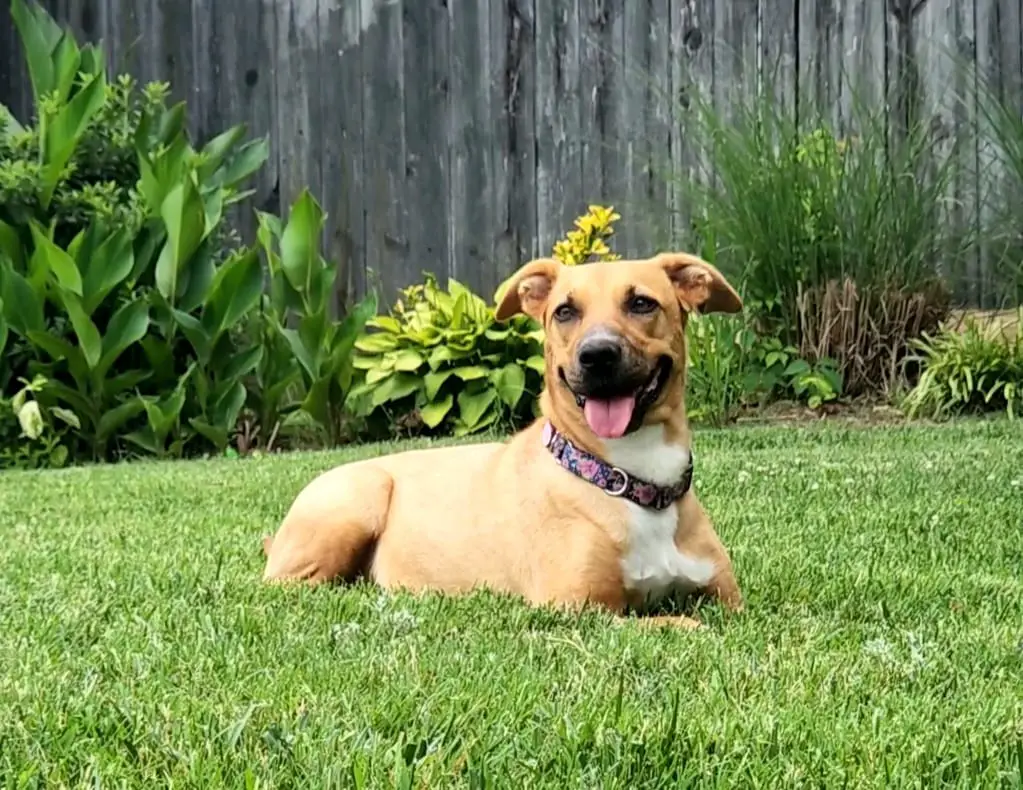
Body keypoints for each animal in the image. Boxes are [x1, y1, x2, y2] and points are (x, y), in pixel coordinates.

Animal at [261, 252, 744, 630]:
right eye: (565, 312)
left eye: (642, 303)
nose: (597, 355)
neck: (628, 477)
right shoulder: (578, 607)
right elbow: (682, 622)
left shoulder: (729, 598)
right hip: (358, 498)